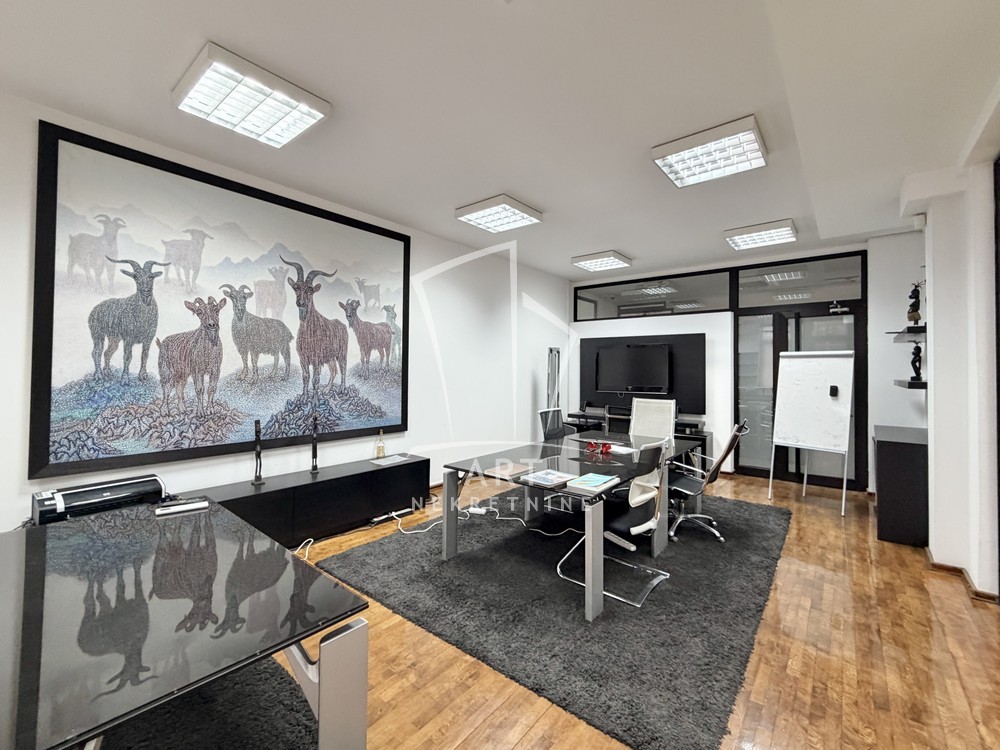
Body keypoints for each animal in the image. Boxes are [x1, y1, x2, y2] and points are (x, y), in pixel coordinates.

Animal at [77, 561, 155, 698]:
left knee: (95, 599)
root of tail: (81, 644)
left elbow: (122, 585)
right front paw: (132, 565)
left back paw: (98, 576)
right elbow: (128, 583)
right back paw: (94, 576)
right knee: (91, 599)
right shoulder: (135, 604)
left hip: (95, 618)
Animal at [282, 255, 349, 396]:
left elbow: (315, 380)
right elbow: (305, 377)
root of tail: (342, 325)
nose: (301, 303)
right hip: (330, 357)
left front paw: (315, 400)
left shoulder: (317, 359)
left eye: (310, 290)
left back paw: (342, 389)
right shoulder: (303, 358)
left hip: (341, 353)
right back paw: (327, 389)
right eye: (296, 287)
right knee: (334, 370)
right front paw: (304, 396)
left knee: (343, 369)